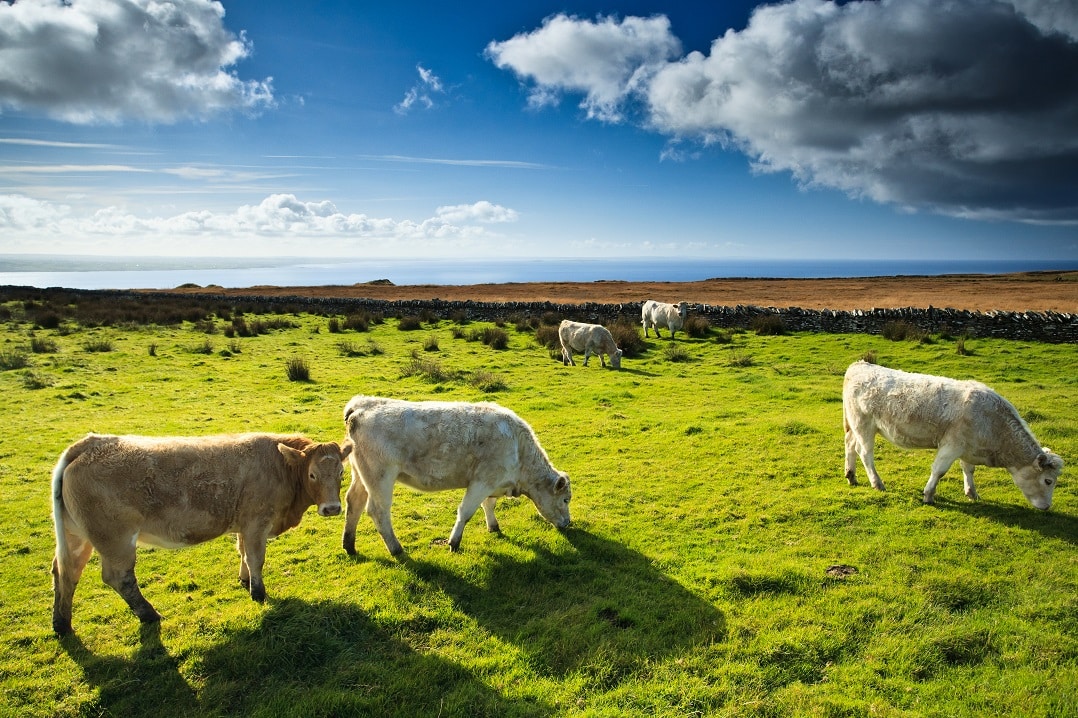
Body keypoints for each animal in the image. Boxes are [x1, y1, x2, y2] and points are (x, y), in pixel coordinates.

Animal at [51, 432, 352, 636]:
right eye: (312, 475)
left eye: (341, 472)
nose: (332, 508)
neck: (280, 468)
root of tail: (93, 443)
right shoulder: (257, 522)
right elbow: (255, 558)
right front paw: (258, 593)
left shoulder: (244, 525)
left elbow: (243, 552)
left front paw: (244, 580)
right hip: (116, 540)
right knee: (119, 578)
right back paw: (149, 614)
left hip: (76, 536)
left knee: (65, 572)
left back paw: (61, 623)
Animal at [341, 395, 572, 555]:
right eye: (565, 499)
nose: (568, 523)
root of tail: (362, 403)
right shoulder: (482, 481)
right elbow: (465, 512)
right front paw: (454, 542)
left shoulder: (491, 483)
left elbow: (489, 505)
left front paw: (493, 527)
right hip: (380, 476)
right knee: (378, 511)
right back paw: (396, 549)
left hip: (361, 475)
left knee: (354, 502)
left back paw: (349, 545)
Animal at [842, 360, 1063, 509]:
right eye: (1048, 481)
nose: (1047, 507)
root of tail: (860, 364)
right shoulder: (952, 445)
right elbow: (939, 471)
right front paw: (929, 495)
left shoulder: (967, 447)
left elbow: (969, 469)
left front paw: (972, 492)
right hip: (864, 425)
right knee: (865, 453)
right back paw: (877, 483)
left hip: (854, 425)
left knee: (850, 444)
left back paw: (851, 476)